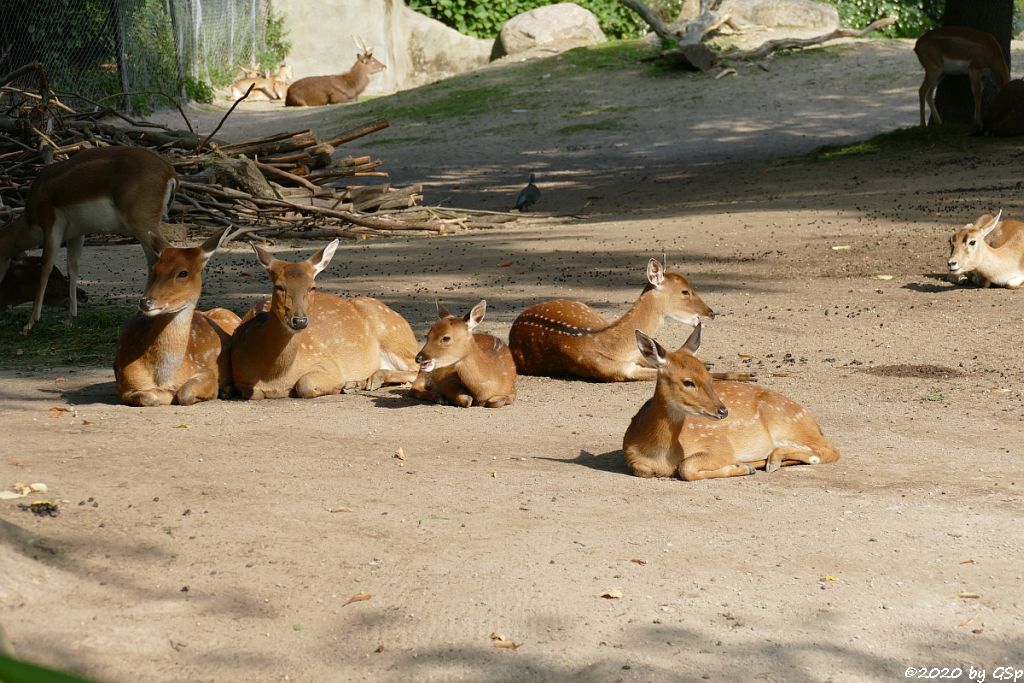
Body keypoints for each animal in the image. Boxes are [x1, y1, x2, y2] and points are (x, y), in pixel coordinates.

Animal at [0, 146, 178, 333]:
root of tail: (169, 170)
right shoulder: (76, 234)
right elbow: (73, 268)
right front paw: (70, 318)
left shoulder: (52, 228)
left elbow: (45, 268)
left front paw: (29, 323)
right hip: (144, 231)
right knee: (152, 262)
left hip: (142, 226)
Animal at [113, 227, 240, 409]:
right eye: (154, 268)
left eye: (183, 273)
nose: (145, 302)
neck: (162, 377)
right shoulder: (124, 382)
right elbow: (147, 398)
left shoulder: (207, 371)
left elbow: (185, 393)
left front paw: (213, 392)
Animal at [232, 240, 419, 401]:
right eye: (279, 286)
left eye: (312, 287)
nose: (300, 321)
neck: (275, 376)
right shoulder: (240, 375)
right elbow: (254, 393)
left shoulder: (327, 363)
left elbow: (305, 384)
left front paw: (339, 386)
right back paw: (359, 383)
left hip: (395, 336)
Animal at [622, 325, 839, 481]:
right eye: (687, 382)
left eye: (708, 375)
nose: (723, 411)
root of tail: (813, 421)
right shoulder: (634, 461)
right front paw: (745, 466)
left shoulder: (720, 444)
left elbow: (686, 468)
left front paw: (742, 467)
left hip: (785, 421)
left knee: (829, 450)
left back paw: (772, 461)